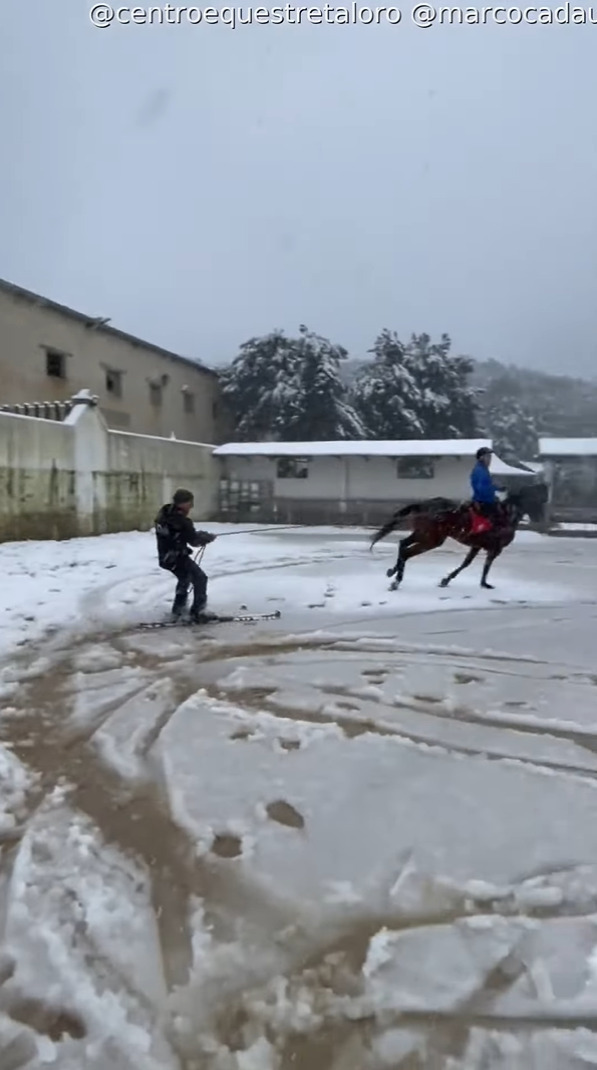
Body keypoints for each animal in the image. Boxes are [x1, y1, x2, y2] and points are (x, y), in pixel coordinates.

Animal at [372, 485, 552, 594]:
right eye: (539, 498)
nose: (542, 520)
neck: (505, 516)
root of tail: (424, 506)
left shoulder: (477, 546)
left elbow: (466, 563)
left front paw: (446, 580)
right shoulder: (495, 549)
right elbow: (485, 566)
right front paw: (484, 584)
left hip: (423, 534)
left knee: (403, 545)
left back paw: (393, 571)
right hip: (431, 539)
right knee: (407, 552)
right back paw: (396, 581)